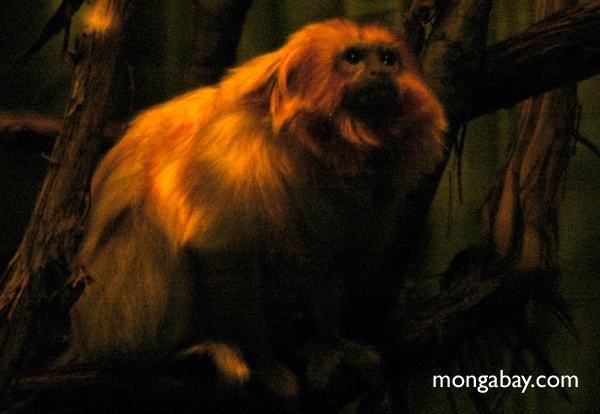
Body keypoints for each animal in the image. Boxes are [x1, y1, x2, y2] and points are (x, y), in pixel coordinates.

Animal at [65, 17, 448, 410]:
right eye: (353, 58)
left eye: (388, 59)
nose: (379, 72)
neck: (319, 145)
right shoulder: (237, 149)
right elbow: (219, 248)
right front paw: (263, 364)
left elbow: (328, 258)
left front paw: (331, 345)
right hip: (112, 319)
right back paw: (186, 353)